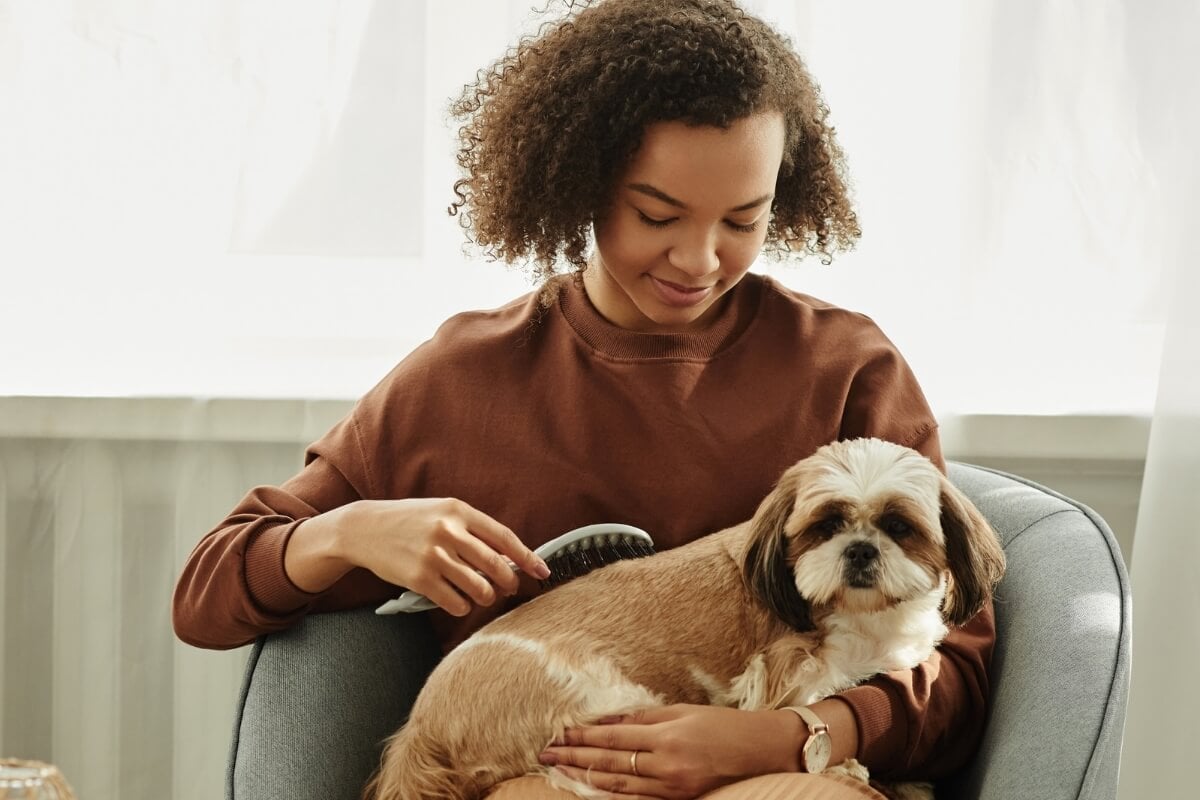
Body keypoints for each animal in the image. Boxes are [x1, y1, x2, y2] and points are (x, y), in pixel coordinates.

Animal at [362, 438, 1003, 800]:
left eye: (898, 526)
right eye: (825, 526)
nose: (861, 550)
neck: (859, 617)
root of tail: (420, 727)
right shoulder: (781, 680)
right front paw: (850, 767)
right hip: (600, 712)